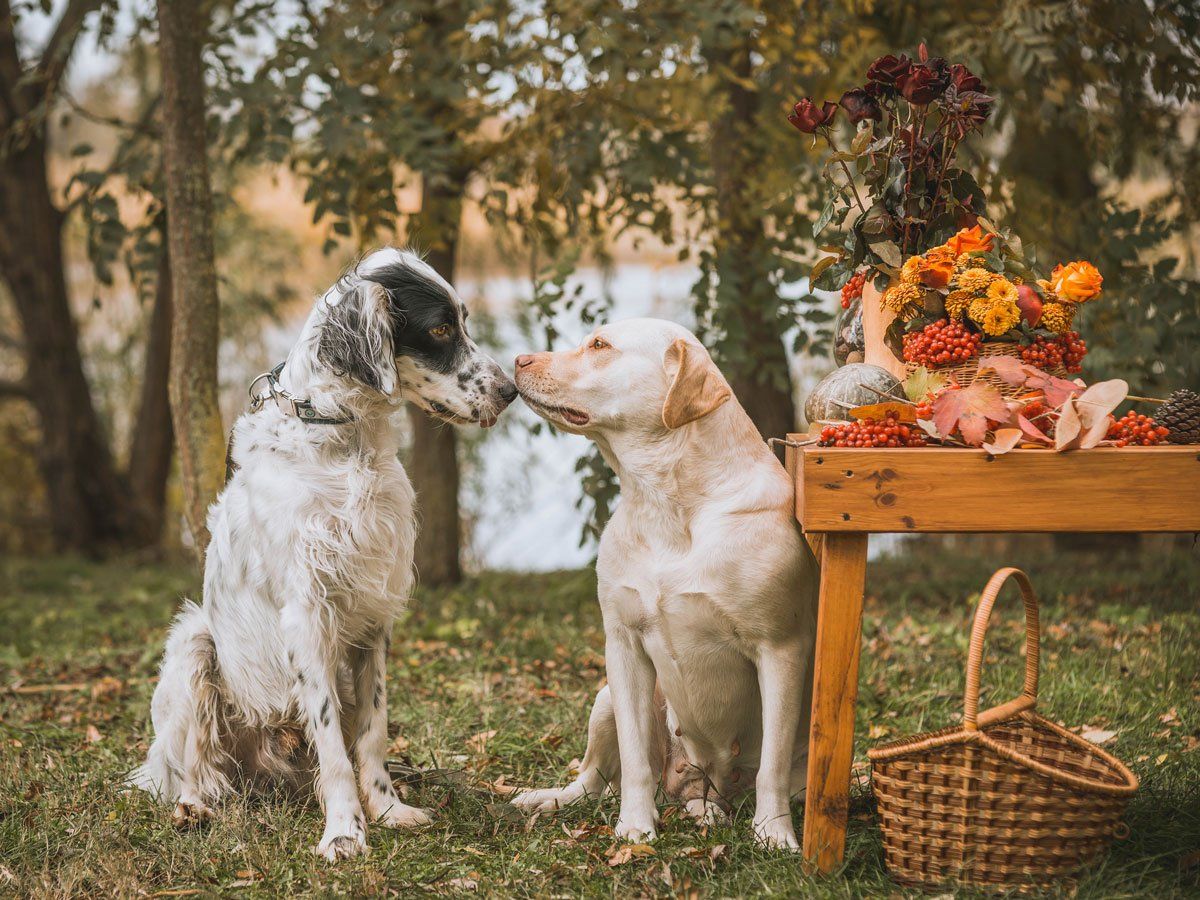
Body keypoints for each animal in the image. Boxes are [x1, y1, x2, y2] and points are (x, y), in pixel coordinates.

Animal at [131, 247, 516, 859]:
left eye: (464, 322)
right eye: (439, 329)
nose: (511, 390)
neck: (344, 441)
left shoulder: (374, 614)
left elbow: (372, 731)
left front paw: (386, 808)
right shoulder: (307, 612)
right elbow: (334, 742)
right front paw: (344, 830)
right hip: (194, 642)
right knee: (191, 766)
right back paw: (193, 806)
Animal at [511, 319, 820, 854]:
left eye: (599, 344)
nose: (517, 360)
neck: (665, 499)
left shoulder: (780, 649)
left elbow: (773, 766)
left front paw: (774, 834)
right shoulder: (623, 646)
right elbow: (635, 760)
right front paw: (635, 828)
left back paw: (711, 812)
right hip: (605, 699)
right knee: (592, 779)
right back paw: (549, 799)